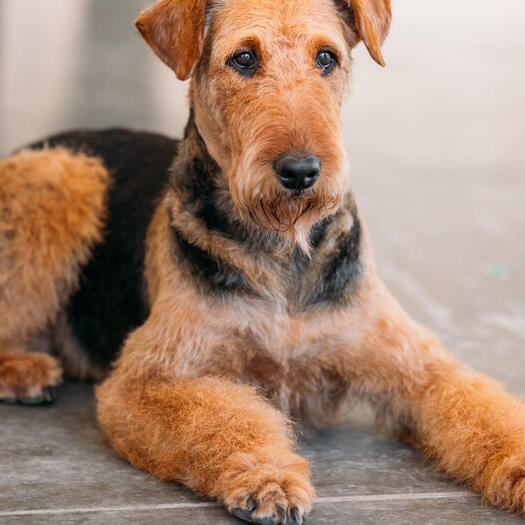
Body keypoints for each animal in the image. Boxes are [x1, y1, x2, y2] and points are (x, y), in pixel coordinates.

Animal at [1, 0, 524, 520]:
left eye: (327, 57)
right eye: (244, 58)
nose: (301, 171)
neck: (283, 251)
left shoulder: (418, 368)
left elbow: (478, 405)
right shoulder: (148, 379)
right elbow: (226, 417)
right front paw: (269, 479)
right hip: (62, 176)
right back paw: (25, 372)